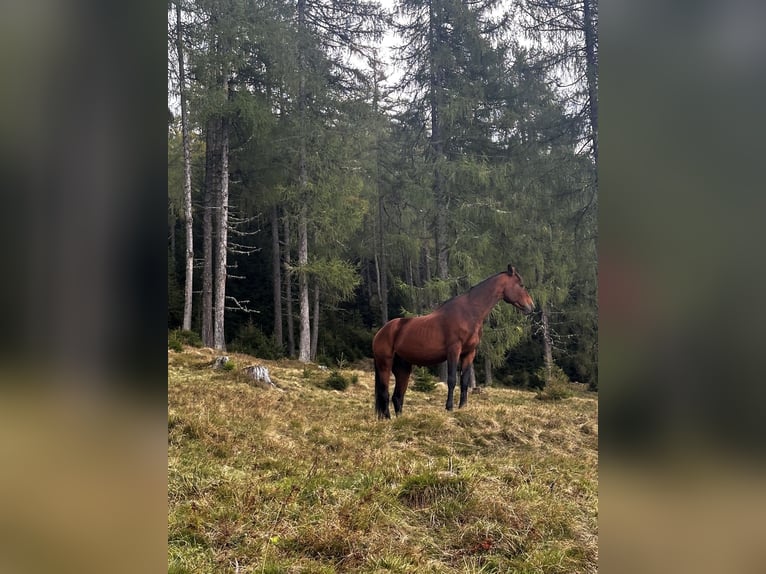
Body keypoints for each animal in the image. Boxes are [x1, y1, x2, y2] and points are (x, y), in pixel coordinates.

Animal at [373, 264, 535, 419]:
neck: (469, 312)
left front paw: (463, 407)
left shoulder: (469, 353)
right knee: (385, 393)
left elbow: (464, 381)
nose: (531, 307)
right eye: (521, 285)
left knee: (397, 397)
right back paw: (387, 419)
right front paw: (449, 407)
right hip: (384, 364)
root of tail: (381, 332)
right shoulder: (453, 350)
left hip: (403, 367)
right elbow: (451, 380)